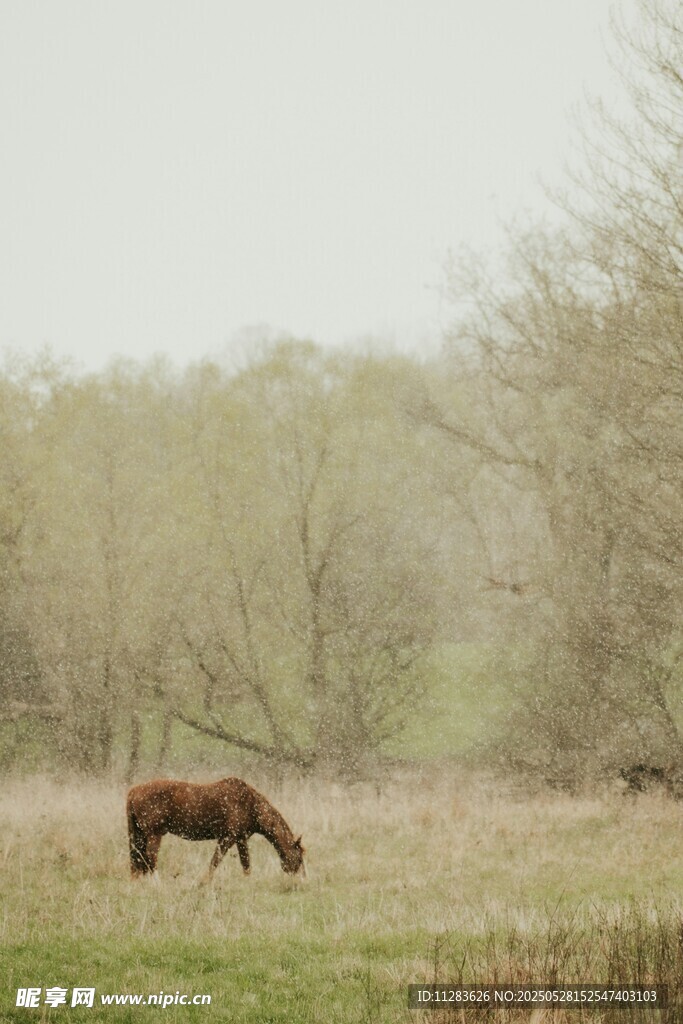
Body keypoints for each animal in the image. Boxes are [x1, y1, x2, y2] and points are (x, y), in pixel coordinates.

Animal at [126, 776, 305, 879]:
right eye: (299, 856)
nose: (300, 877)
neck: (250, 804)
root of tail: (133, 791)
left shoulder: (240, 839)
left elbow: (246, 864)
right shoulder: (228, 838)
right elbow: (215, 861)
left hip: (140, 835)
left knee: (139, 859)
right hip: (154, 835)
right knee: (149, 858)